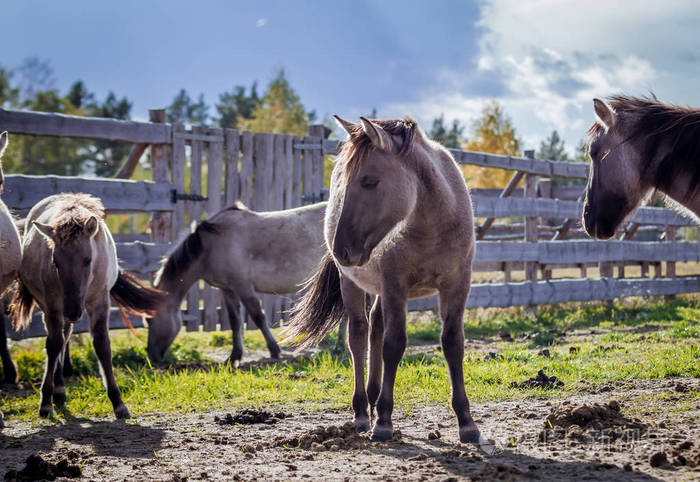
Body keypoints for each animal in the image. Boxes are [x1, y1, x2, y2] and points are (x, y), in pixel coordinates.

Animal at [9, 192, 165, 418]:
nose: (74, 311)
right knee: (60, 339)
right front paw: (45, 401)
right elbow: (53, 344)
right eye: (55, 262)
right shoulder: (53, 304)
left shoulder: (99, 301)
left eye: (88, 260)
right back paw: (57, 390)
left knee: (66, 336)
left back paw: (60, 390)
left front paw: (118, 402)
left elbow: (102, 345)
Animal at [148, 201, 328, 364]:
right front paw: (234, 356)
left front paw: (274, 350)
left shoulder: (243, 287)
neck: (211, 245)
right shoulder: (227, 290)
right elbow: (235, 321)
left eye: (149, 320)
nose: (152, 356)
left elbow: (258, 317)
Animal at [284, 115, 486, 450]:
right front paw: (384, 422)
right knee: (358, 335)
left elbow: (453, 344)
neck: (432, 225)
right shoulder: (395, 288)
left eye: (369, 181)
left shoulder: (457, 286)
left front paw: (467, 423)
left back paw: (373, 397)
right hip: (353, 285)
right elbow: (394, 345)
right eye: (344, 185)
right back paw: (362, 413)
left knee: (375, 329)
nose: (341, 249)